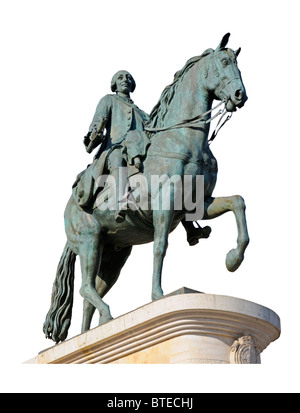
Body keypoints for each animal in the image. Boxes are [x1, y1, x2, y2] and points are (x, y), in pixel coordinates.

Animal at [42, 32, 248, 342]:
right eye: (224, 62)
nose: (240, 95)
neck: (185, 140)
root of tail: (70, 208)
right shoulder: (165, 203)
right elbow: (160, 247)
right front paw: (158, 295)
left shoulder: (200, 204)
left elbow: (237, 202)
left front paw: (233, 258)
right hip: (89, 242)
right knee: (84, 287)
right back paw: (106, 316)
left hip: (113, 254)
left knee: (90, 293)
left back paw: (87, 335)